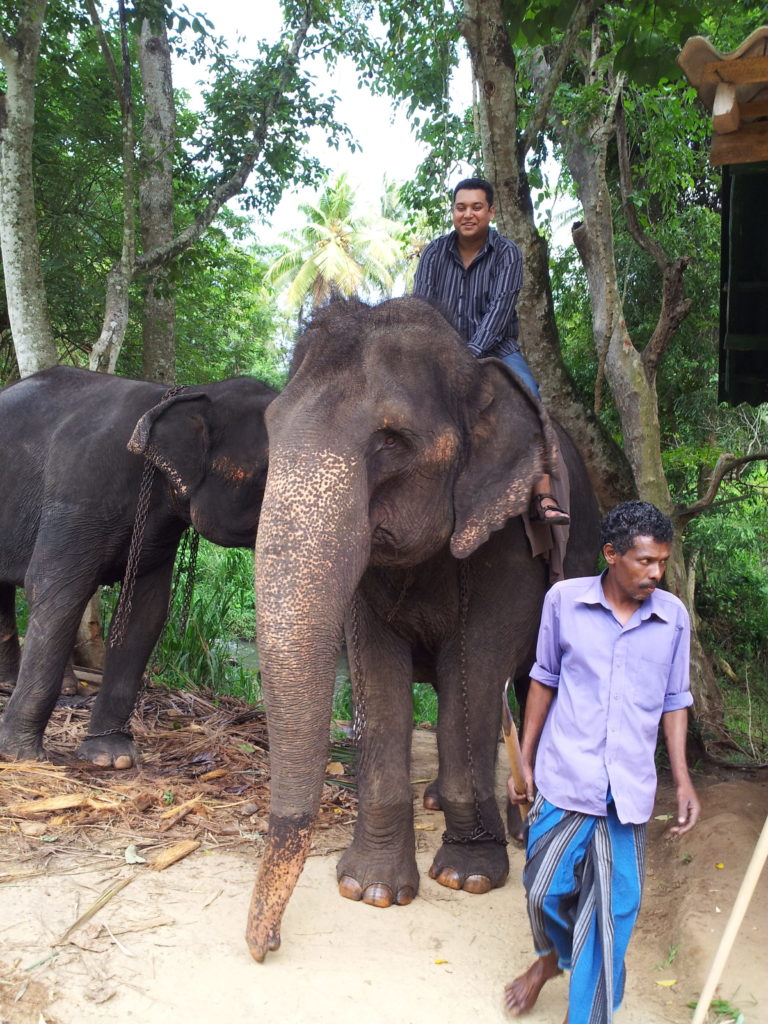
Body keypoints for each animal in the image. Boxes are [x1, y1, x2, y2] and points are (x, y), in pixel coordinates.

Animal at [0, 368, 276, 770]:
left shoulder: (160, 530)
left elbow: (144, 613)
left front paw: (111, 758)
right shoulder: (81, 489)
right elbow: (55, 589)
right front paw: (20, 755)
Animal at [246, 294, 602, 958]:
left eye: (391, 440)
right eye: (271, 429)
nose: (266, 945)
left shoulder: (509, 536)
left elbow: (475, 666)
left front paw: (468, 876)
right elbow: (377, 671)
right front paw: (371, 890)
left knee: (524, 688)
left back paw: (521, 822)